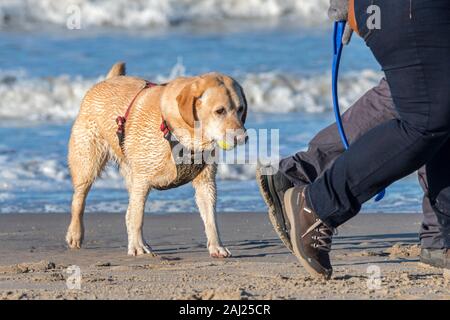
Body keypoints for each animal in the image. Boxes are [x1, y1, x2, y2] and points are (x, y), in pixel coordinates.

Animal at [67, 62, 248, 258]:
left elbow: (211, 218)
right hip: (88, 161)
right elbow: (138, 216)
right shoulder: (142, 179)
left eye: (240, 109)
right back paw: (75, 234)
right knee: (80, 198)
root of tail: (106, 80)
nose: (243, 138)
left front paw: (217, 246)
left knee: (128, 211)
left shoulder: (205, 181)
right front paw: (137, 247)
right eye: (220, 111)